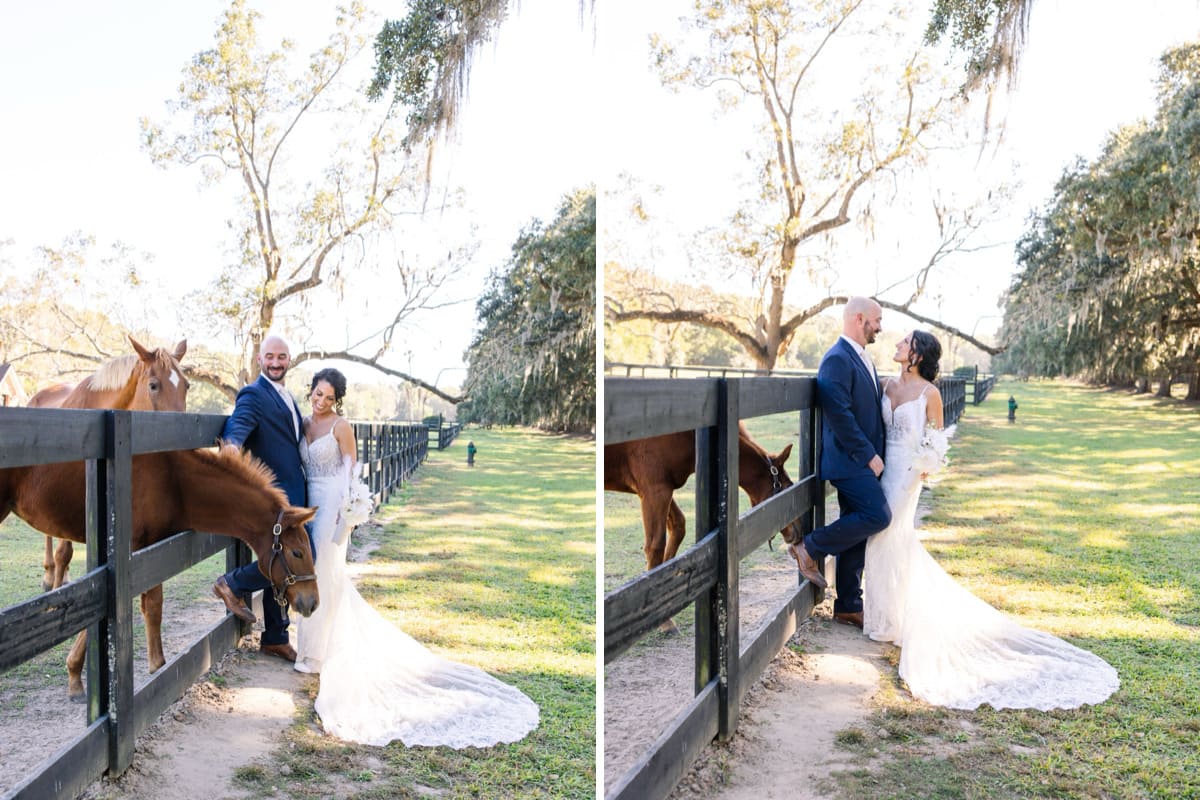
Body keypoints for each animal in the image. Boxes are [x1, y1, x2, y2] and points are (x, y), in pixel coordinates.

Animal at [0, 443, 316, 700]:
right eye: (297, 552)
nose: (312, 602)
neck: (174, 480)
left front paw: (75, 675)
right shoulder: (136, 550)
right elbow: (149, 607)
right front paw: (157, 670)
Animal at [604, 422, 801, 573]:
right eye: (786, 488)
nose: (799, 532)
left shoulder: (663, 489)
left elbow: (678, 525)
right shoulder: (655, 491)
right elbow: (655, 546)